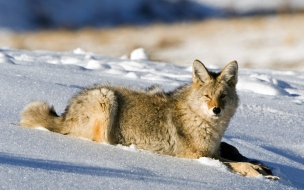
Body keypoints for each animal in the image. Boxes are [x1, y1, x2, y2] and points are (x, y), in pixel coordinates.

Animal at [18, 59, 276, 180]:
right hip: (106, 97)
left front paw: (262, 167)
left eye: (222, 96)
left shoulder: (213, 150)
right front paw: (257, 172)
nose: (216, 110)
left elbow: (235, 154)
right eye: (207, 96)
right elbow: (234, 164)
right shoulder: (197, 156)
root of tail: (65, 112)